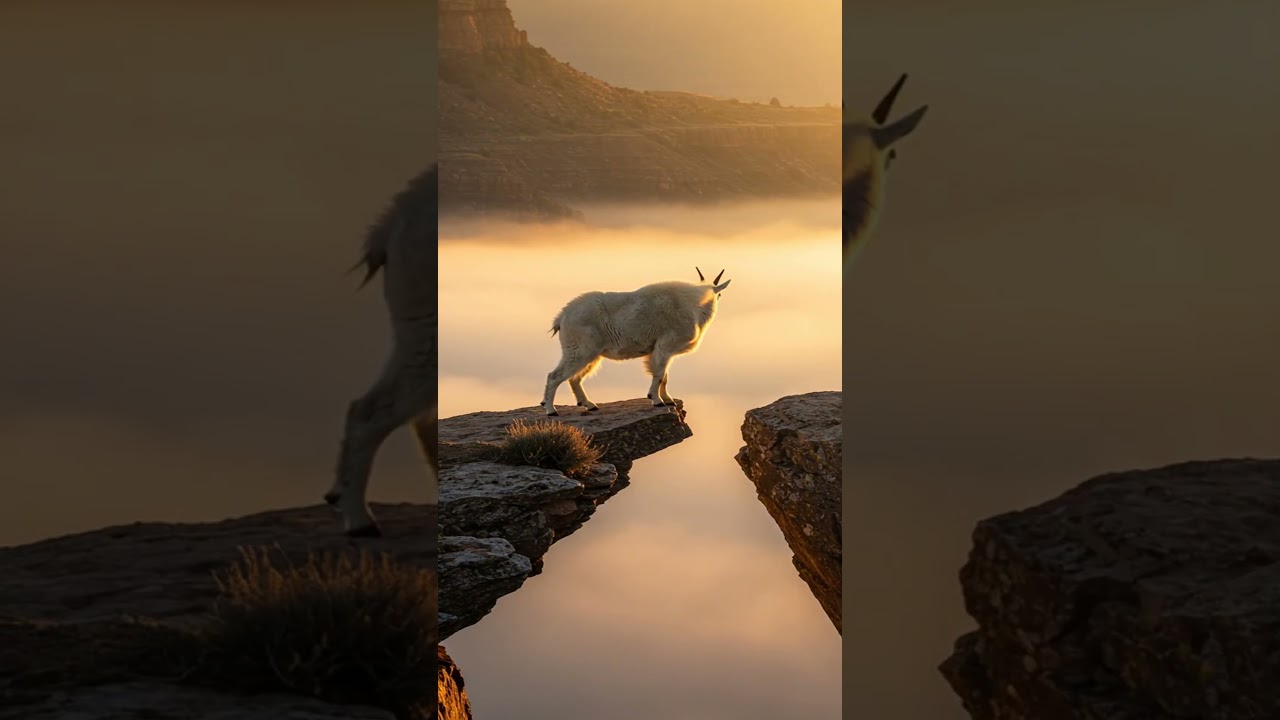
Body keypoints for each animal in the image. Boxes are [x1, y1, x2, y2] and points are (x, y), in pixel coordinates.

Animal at [541, 268, 731, 416]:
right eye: (720, 294)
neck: (693, 304)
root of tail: (562, 317)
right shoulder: (665, 345)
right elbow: (659, 374)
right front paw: (657, 400)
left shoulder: (661, 350)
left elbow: (665, 376)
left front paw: (668, 400)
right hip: (580, 350)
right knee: (555, 376)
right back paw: (551, 410)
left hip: (591, 354)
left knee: (574, 379)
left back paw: (589, 405)